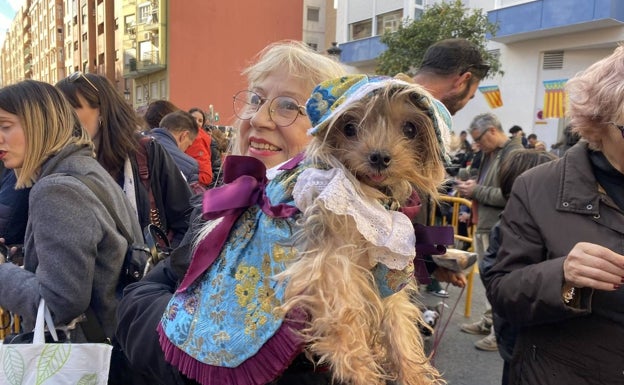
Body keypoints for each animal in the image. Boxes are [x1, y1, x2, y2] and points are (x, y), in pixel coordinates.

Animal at [276, 75, 448, 384]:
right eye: (348, 128)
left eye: (410, 128)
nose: (379, 157)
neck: (371, 197)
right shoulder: (330, 267)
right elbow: (345, 325)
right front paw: (364, 373)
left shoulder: (387, 270)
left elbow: (398, 324)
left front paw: (412, 374)